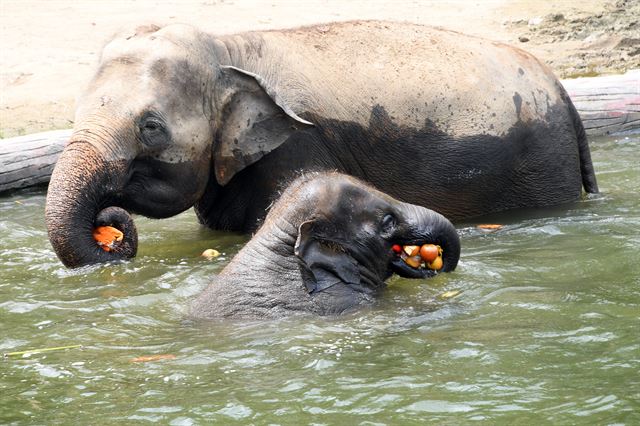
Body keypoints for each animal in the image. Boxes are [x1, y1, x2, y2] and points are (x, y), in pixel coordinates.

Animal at [43, 21, 596, 266]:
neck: (228, 46)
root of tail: (563, 88)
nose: (110, 227)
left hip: (540, 166)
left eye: (151, 127)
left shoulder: (297, 147)